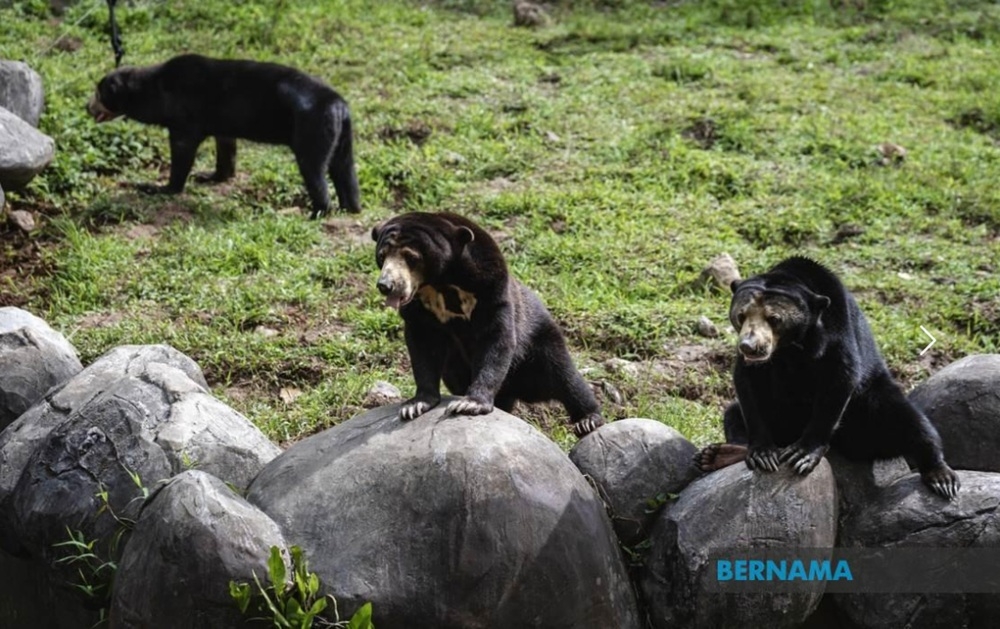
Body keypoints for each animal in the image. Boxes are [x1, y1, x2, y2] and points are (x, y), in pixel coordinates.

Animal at [86, 54, 361, 219]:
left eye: (99, 93)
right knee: (344, 170)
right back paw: (350, 209)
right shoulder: (223, 129)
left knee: (315, 173)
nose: (86, 107)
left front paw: (157, 188)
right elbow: (226, 153)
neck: (154, 90)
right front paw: (209, 177)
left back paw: (312, 214)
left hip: (311, 129)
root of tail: (338, 104)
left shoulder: (184, 124)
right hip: (341, 137)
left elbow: (181, 160)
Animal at [371, 211, 604, 437]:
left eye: (411, 257)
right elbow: (424, 348)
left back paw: (588, 420)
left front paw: (469, 404)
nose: (386, 285)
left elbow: (496, 340)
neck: (441, 283)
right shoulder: (419, 311)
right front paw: (414, 405)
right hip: (456, 368)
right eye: (382, 256)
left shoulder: (491, 290)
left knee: (563, 376)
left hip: (538, 342)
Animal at [695, 256, 959, 499]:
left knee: (906, 420)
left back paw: (941, 477)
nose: (750, 346)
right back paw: (715, 455)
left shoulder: (836, 330)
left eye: (774, 319)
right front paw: (763, 454)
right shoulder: (755, 367)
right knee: (733, 414)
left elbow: (840, 378)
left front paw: (801, 455)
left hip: (868, 407)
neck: (790, 348)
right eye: (741, 315)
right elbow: (748, 386)